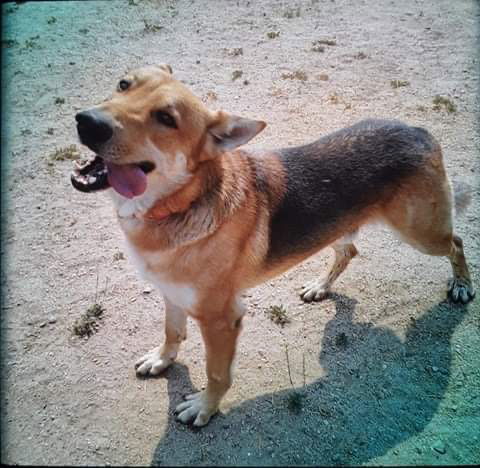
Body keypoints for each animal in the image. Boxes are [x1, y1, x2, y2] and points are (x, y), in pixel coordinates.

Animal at [72, 64, 476, 426]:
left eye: (166, 118)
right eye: (124, 84)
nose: (86, 121)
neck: (177, 205)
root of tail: (418, 130)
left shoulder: (221, 320)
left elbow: (217, 373)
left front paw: (205, 407)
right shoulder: (171, 293)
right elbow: (172, 332)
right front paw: (162, 359)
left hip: (422, 234)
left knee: (456, 242)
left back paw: (461, 285)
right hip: (341, 229)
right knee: (348, 251)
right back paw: (320, 287)